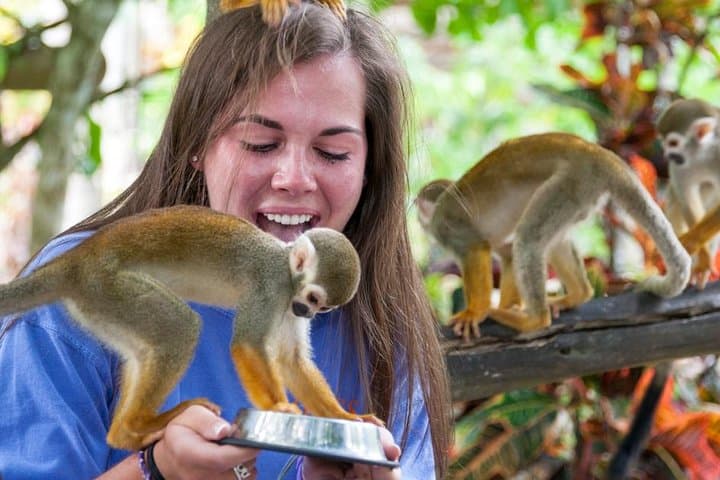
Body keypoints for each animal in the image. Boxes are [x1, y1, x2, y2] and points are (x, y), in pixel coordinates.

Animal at [0, 205, 371, 450]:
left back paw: (123, 433)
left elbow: (291, 360)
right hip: (109, 286)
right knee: (180, 327)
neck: (286, 268)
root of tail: (77, 260)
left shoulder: (286, 302)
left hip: (100, 303)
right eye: (312, 297)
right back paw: (143, 422)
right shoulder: (270, 285)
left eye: (323, 307)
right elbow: (248, 344)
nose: (307, 312)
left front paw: (344, 417)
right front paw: (278, 408)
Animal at [416, 133, 691, 340]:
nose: (417, 217)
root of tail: (600, 154)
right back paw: (578, 294)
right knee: (549, 240)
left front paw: (476, 311)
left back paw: (534, 320)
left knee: (528, 239)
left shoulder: (447, 226)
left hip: (573, 181)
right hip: (583, 195)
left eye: (419, 206)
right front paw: (509, 305)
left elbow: (476, 247)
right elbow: (507, 255)